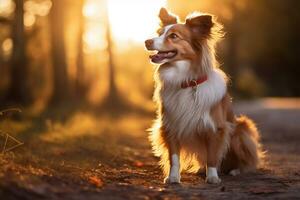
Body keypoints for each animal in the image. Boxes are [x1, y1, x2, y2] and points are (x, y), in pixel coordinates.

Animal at [144, 7, 264, 184]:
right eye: (159, 33)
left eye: (173, 36)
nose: (147, 42)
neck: (187, 81)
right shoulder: (171, 125)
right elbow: (174, 157)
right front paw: (173, 178)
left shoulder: (215, 128)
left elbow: (212, 157)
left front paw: (212, 178)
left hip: (241, 129)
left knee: (240, 161)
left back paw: (234, 171)